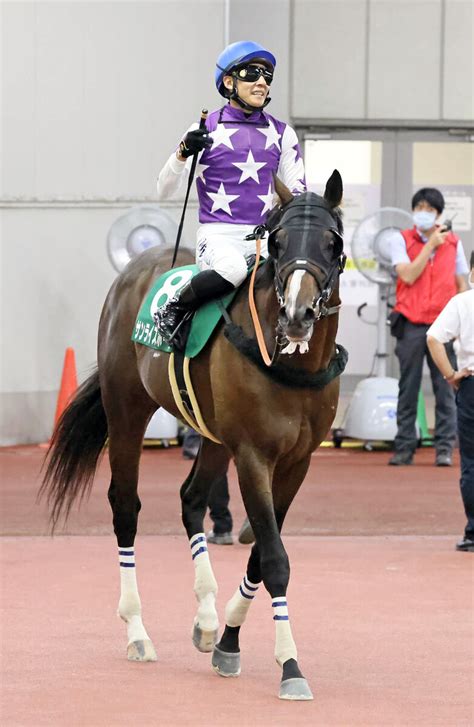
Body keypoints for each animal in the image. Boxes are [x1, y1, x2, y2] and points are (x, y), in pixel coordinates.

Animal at [42, 171, 346, 700]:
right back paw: (137, 630)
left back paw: (205, 618)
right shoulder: (253, 456)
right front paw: (290, 665)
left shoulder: (297, 461)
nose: (297, 315)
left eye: (332, 243)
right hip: (127, 410)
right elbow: (274, 558)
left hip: (215, 437)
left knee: (190, 497)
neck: (292, 365)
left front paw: (228, 639)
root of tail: (138, 266)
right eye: (278, 241)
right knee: (125, 507)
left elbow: (259, 555)